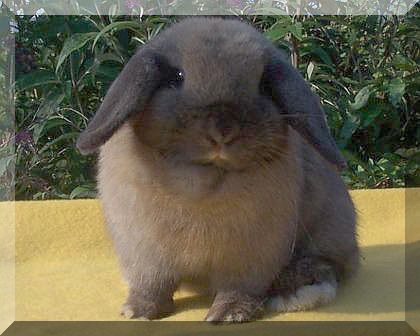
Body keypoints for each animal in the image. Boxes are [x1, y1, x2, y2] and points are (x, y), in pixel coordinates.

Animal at [76, 16, 358, 322]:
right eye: (176, 77)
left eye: (263, 85)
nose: (223, 129)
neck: (203, 181)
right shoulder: (144, 253)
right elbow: (152, 286)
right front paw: (138, 311)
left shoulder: (250, 259)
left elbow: (238, 289)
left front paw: (229, 315)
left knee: (324, 266)